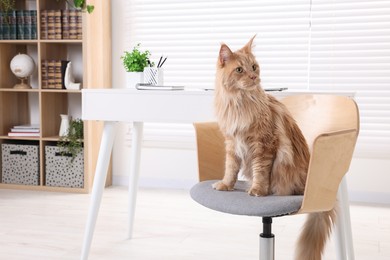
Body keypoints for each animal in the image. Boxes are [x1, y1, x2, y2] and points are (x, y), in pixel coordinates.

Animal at [213, 36, 336, 260]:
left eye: (254, 67)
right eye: (239, 70)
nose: (253, 76)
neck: (240, 103)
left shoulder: (264, 145)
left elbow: (260, 172)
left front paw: (258, 190)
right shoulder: (232, 144)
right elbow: (231, 169)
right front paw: (226, 185)